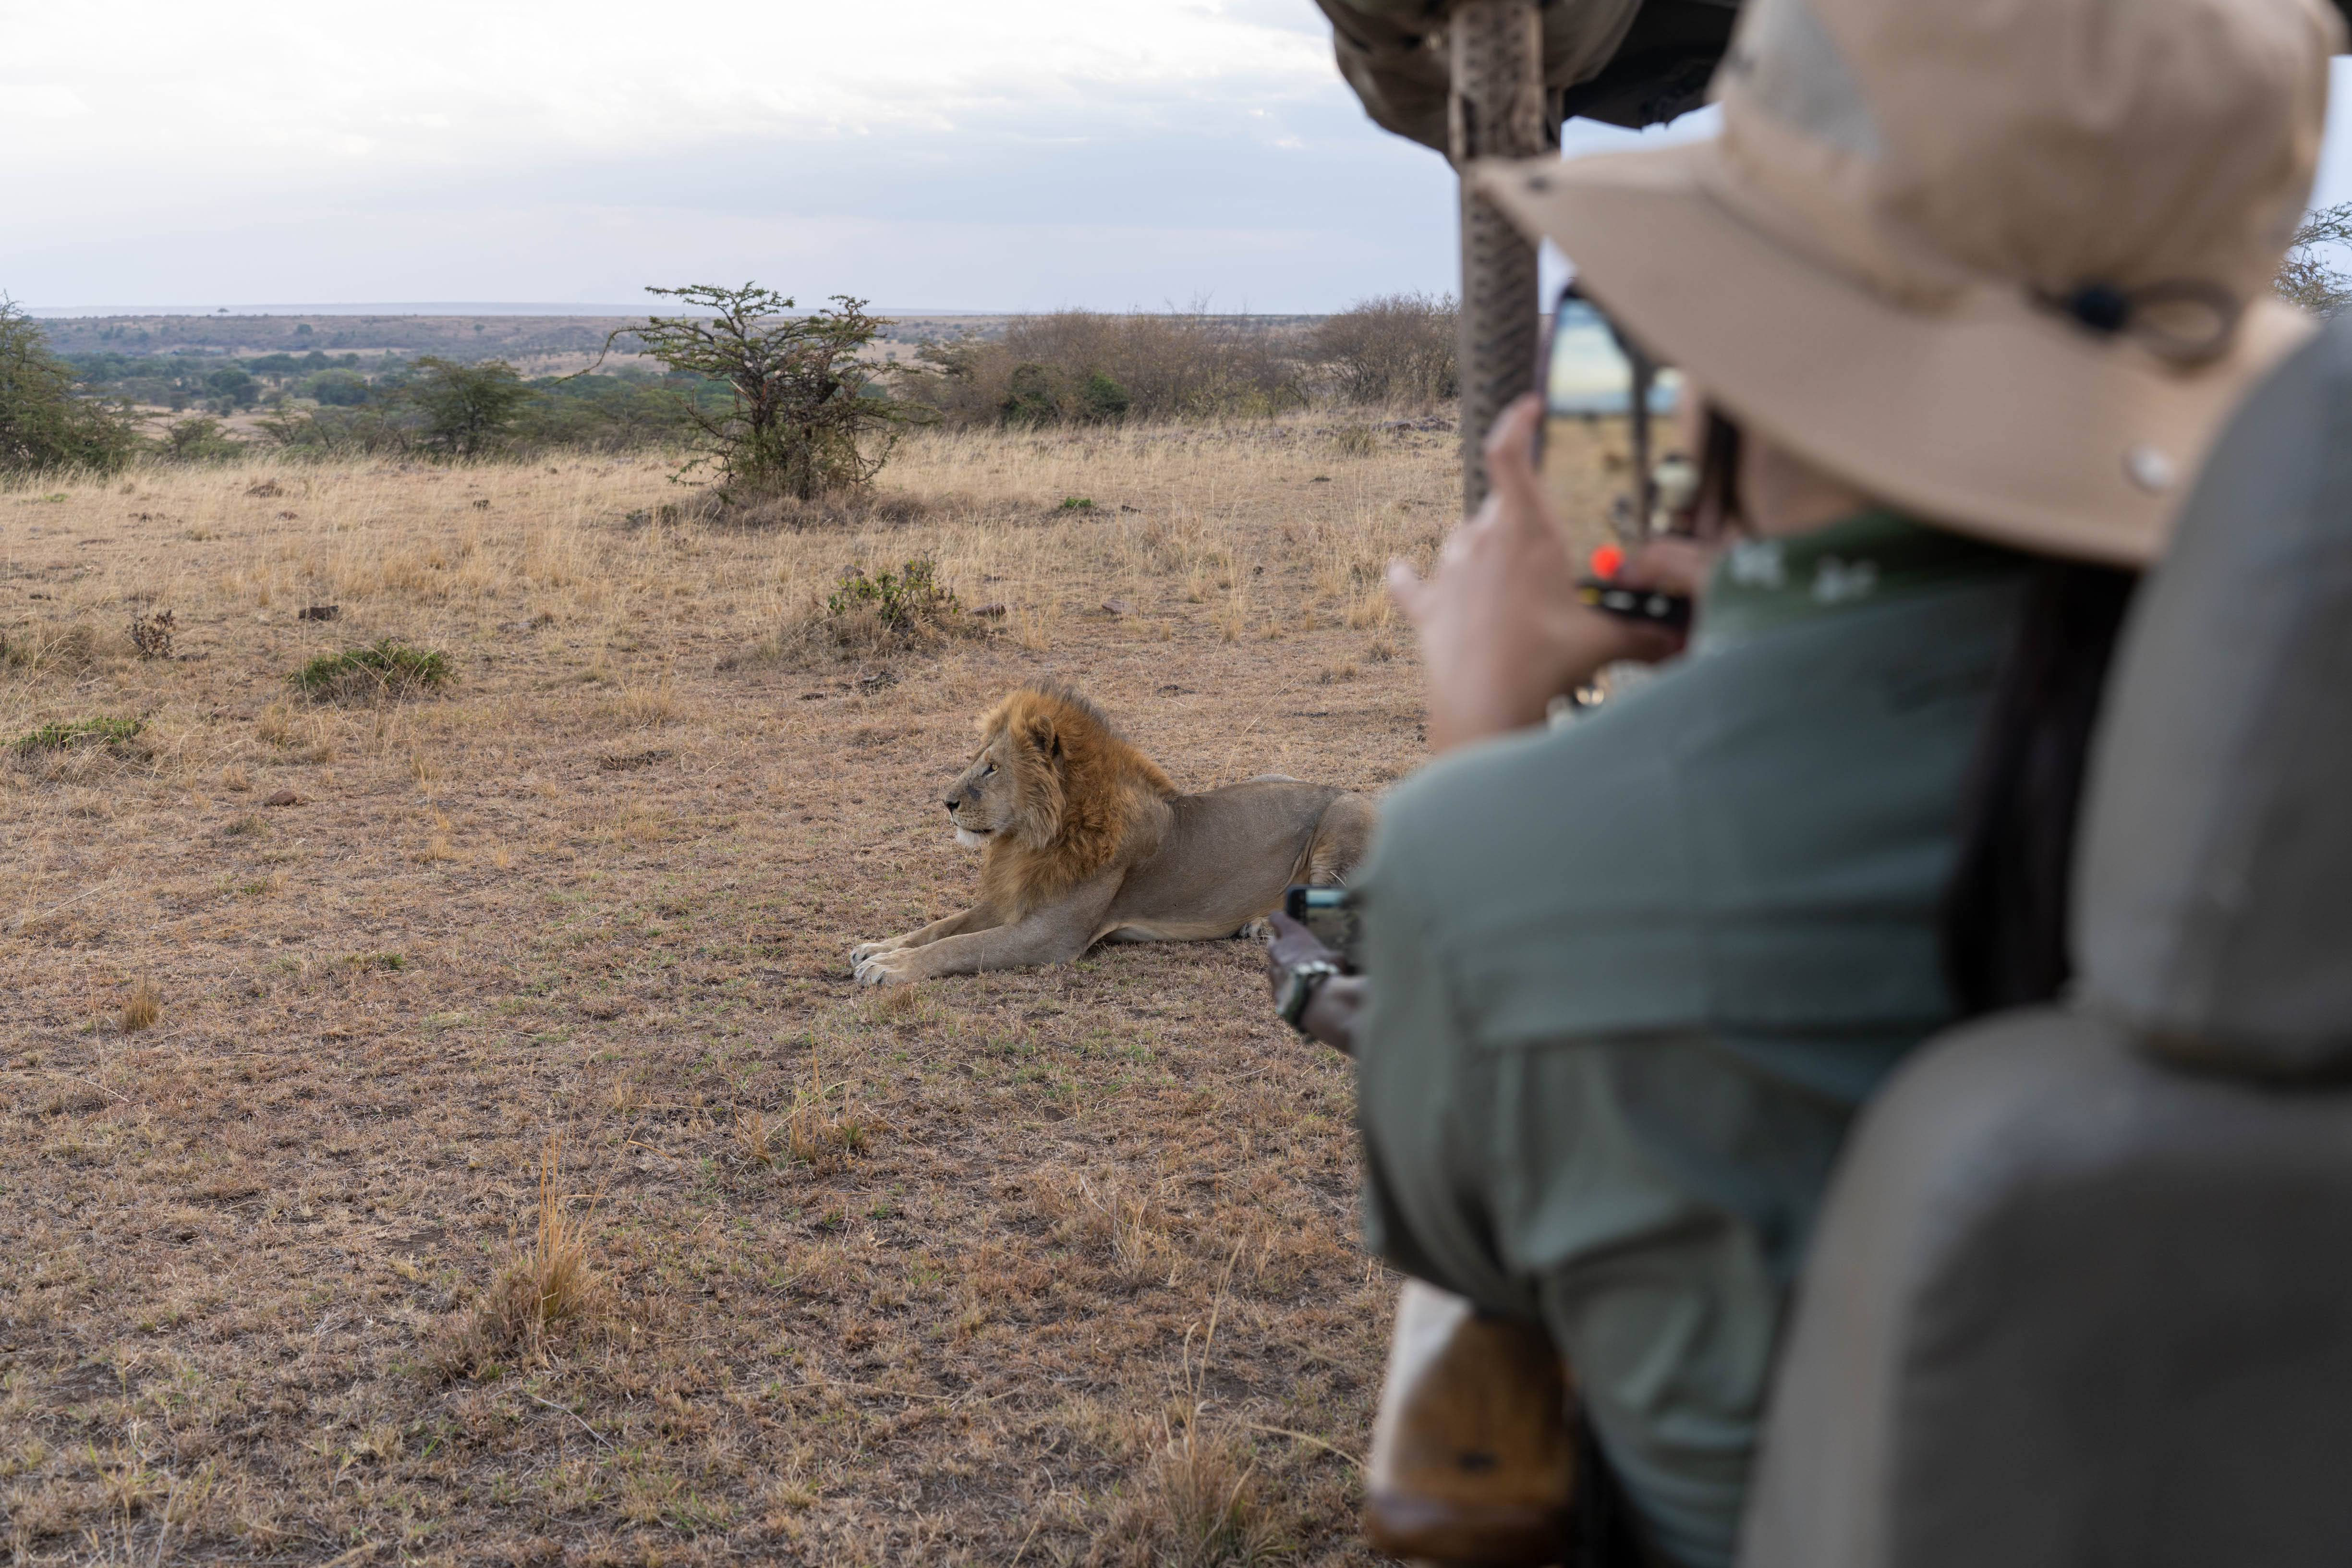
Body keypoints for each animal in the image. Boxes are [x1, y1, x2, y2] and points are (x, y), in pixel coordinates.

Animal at [849, 683, 1375, 985]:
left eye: (992, 767)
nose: (947, 802)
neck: (1031, 839)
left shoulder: (1052, 936)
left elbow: (958, 946)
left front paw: (888, 969)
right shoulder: (1014, 899)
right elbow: (941, 927)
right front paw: (879, 947)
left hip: (1346, 813)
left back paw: (1264, 926)